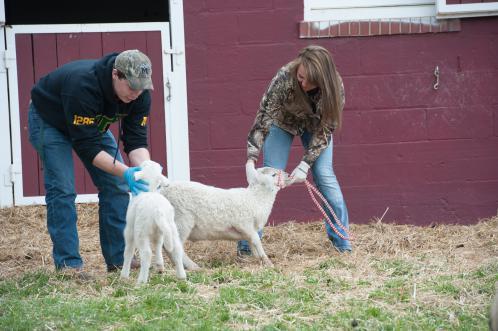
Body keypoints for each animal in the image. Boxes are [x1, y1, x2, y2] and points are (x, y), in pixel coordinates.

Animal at [161, 163, 290, 270]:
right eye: (273, 175)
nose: (288, 174)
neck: (255, 198)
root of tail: (162, 192)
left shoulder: (249, 230)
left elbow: (252, 243)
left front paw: (259, 259)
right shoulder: (244, 224)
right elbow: (256, 240)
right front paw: (268, 262)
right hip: (181, 221)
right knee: (174, 248)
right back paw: (193, 267)